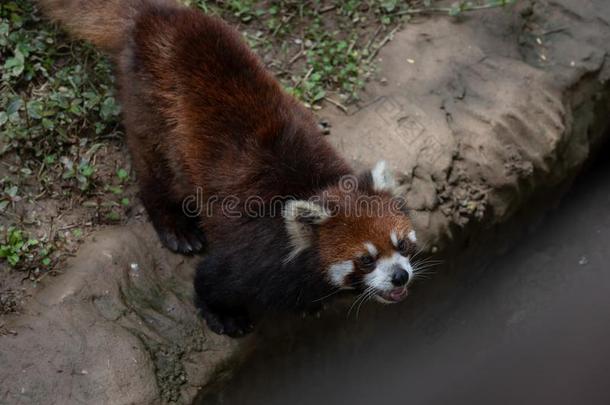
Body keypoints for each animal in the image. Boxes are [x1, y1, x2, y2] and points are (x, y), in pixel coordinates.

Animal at [36, 0, 418, 336]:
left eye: (402, 244)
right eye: (366, 260)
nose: (400, 276)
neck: (317, 187)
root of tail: (153, 15)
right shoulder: (256, 255)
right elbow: (214, 279)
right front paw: (222, 314)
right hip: (152, 113)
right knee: (155, 171)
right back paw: (174, 225)